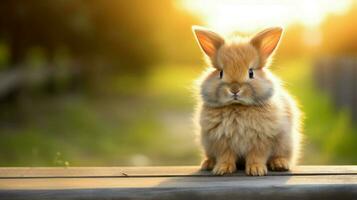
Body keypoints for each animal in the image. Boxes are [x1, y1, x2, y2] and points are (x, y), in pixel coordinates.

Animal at [191, 25, 302, 176]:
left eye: (251, 72)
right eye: (221, 72)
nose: (234, 89)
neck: (238, 106)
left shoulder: (261, 141)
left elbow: (256, 156)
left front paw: (256, 170)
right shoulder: (221, 141)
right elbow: (225, 156)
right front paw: (222, 169)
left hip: (285, 144)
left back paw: (280, 164)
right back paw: (208, 163)